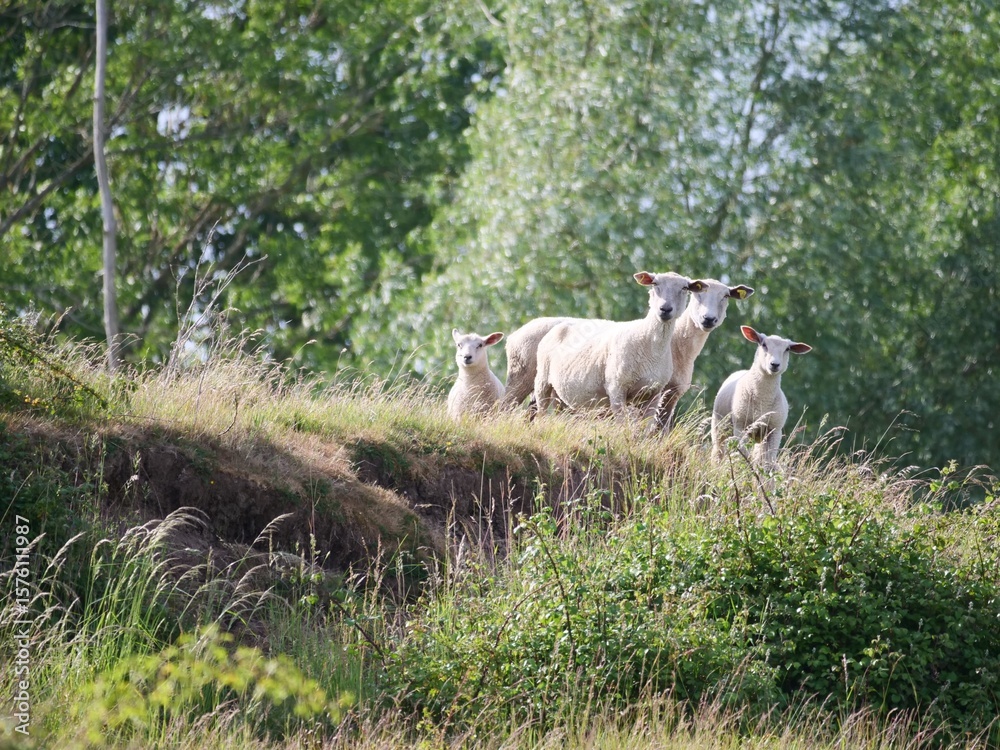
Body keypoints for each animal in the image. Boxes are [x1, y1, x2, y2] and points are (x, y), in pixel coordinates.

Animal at [533, 271, 703, 419]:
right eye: (655, 283)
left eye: (684, 288)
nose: (665, 309)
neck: (649, 343)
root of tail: (562, 324)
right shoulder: (616, 388)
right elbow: (622, 425)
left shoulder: (653, 393)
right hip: (542, 382)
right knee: (541, 415)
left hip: (559, 395)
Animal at [711, 325, 812, 467]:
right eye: (764, 345)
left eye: (787, 349)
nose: (774, 364)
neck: (763, 400)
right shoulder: (740, 424)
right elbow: (743, 452)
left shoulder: (775, 430)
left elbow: (767, 462)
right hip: (720, 427)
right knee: (718, 452)